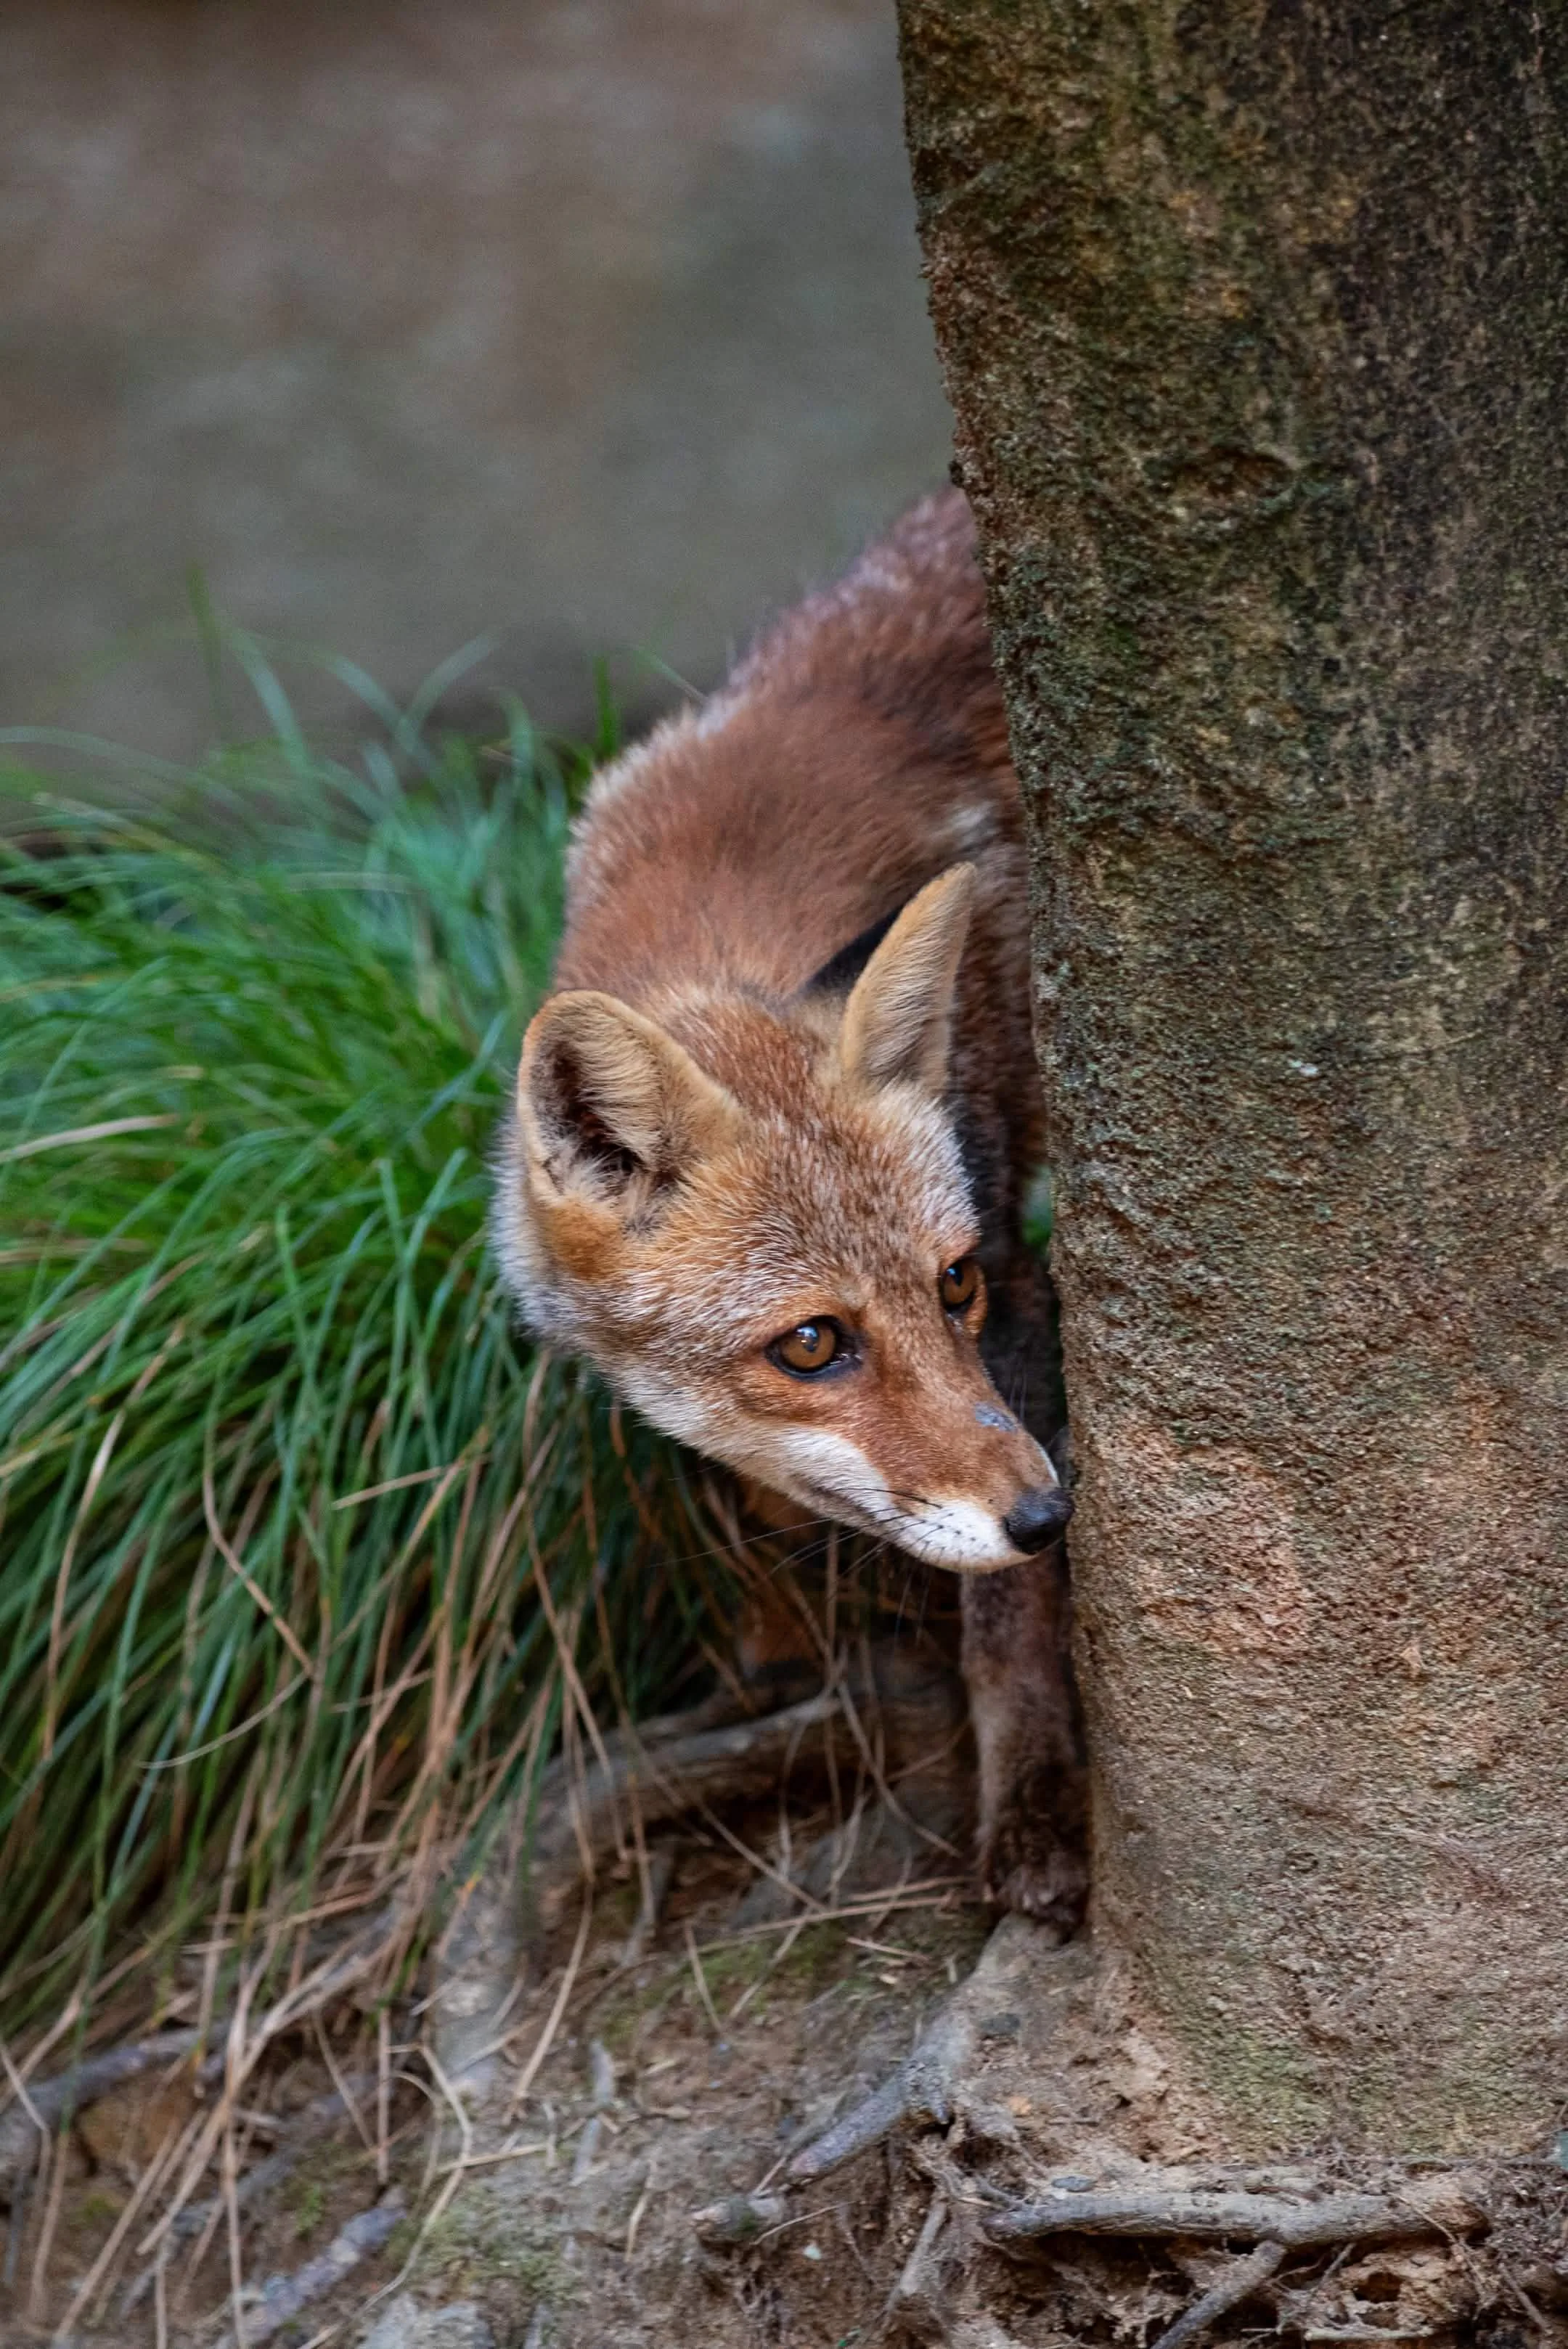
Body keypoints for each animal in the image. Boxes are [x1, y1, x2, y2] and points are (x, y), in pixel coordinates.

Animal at [493, 489, 1086, 1927]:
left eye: (952, 1284)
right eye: (813, 1343)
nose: (1051, 1519)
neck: (725, 890)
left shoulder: (1018, 1270)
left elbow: (1008, 1624)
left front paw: (1037, 1812)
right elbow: (738, 1494)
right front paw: (772, 1650)